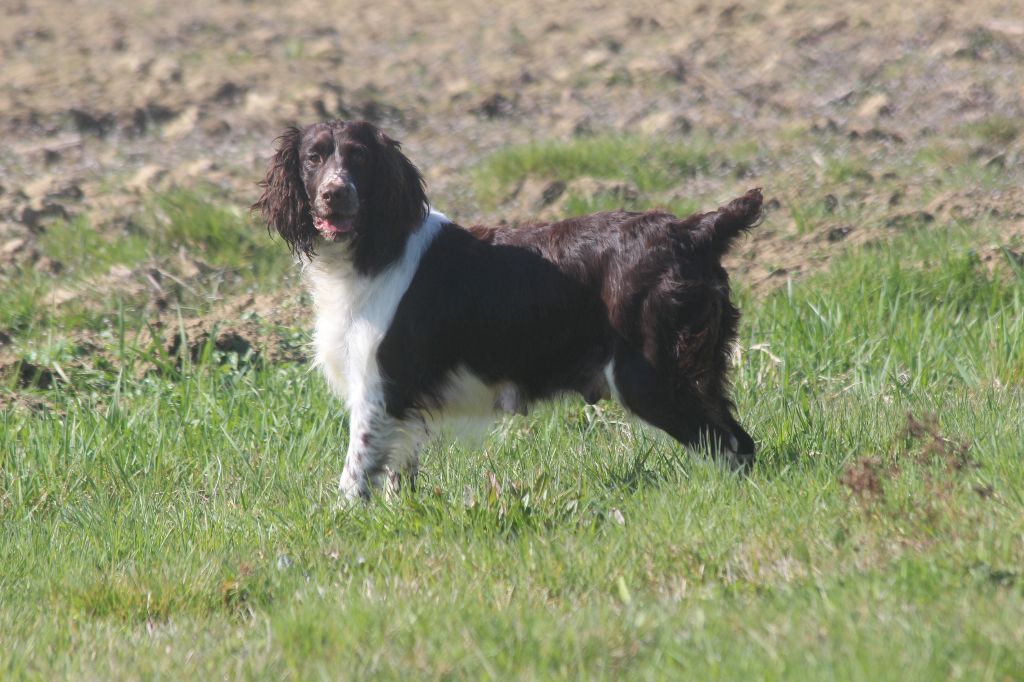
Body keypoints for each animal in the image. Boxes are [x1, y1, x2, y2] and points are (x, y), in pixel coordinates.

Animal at [253, 119, 761, 497]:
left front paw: (340, 519)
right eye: (313, 158)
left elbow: (355, 472)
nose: (335, 193)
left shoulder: (380, 388)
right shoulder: (400, 401)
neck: (374, 251)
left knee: (730, 444)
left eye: (358, 157)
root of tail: (692, 230)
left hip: (648, 377)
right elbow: (399, 471)